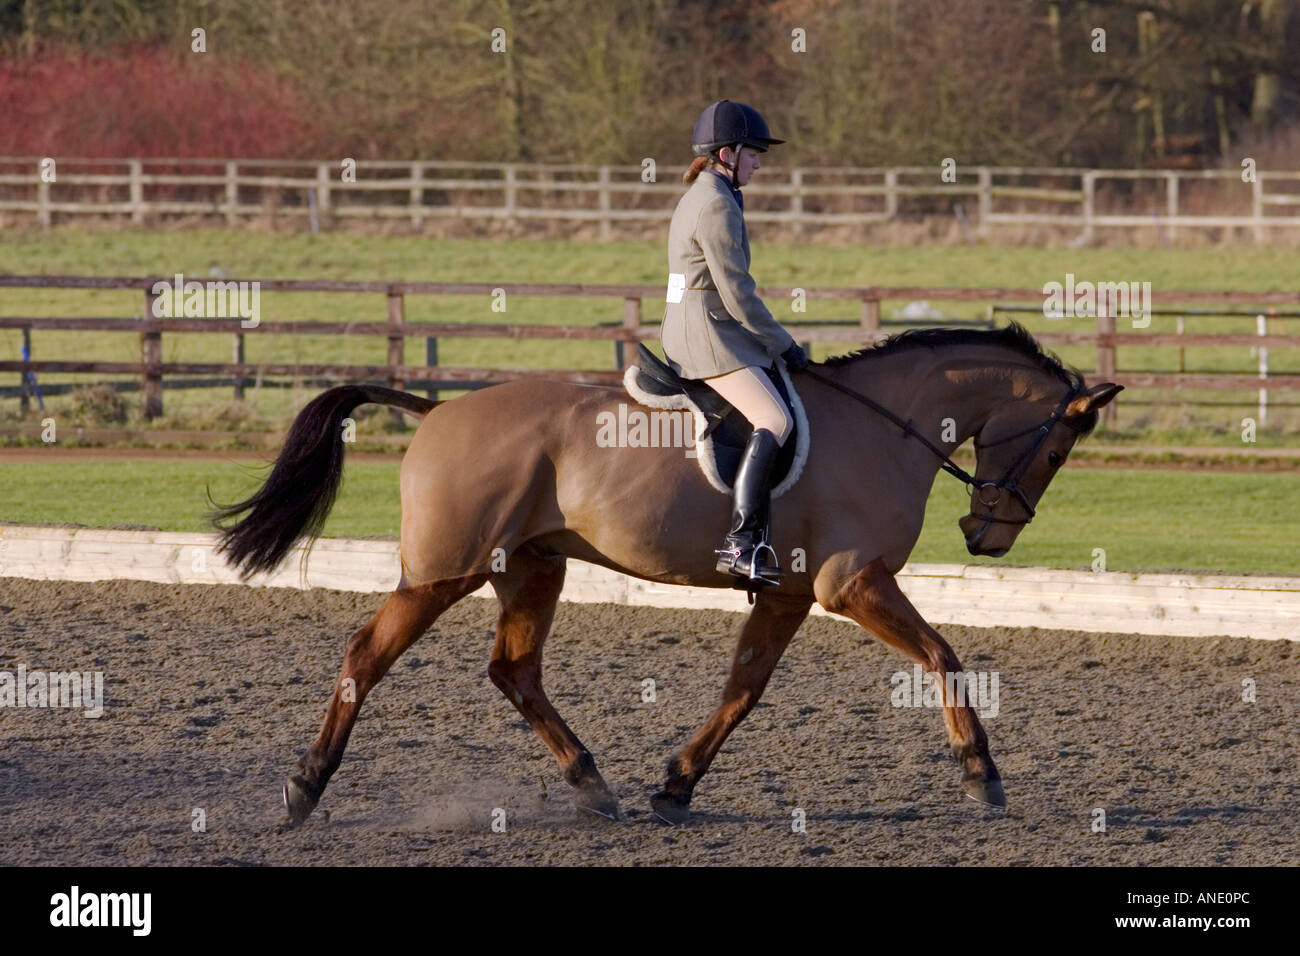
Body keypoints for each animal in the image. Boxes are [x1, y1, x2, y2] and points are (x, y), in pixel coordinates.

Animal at [210, 322, 1121, 827]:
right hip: (443, 574)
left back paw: (593, 787)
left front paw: (677, 786)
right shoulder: (852, 584)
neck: (885, 426)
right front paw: (981, 775)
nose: (986, 538)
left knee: (515, 670)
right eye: (1057, 450)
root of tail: (439, 410)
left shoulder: (791, 594)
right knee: (368, 655)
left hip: (531, 568)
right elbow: (943, 656)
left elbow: (742, 692)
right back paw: (304, 789)